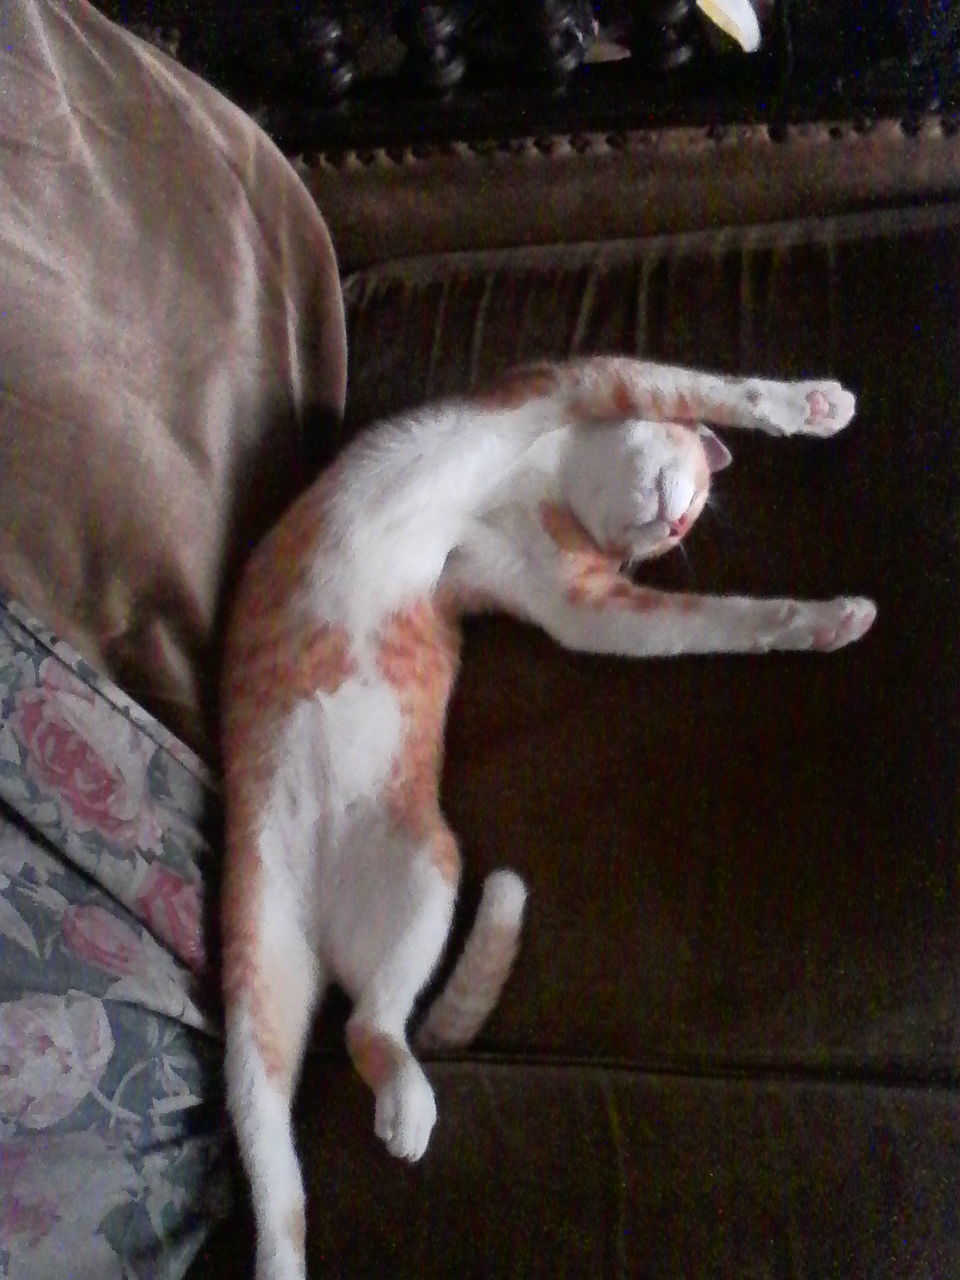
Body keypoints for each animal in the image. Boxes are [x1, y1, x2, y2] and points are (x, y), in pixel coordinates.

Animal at [220, 353, 880, 1280]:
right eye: (684, 513)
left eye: (680, 536)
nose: (677, 520)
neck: (545, 477)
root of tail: (320, 937)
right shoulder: (577, 382)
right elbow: (722, 391)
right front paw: (816, 406)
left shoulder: (574, 599)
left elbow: (718, 620)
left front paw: (827, 622)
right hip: (257, 955)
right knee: (279, 1130)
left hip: (423, 873)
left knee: (358, 1043)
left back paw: (401, 1102)